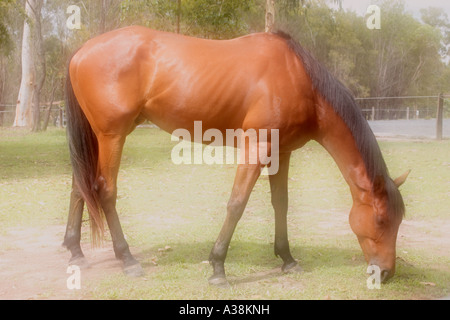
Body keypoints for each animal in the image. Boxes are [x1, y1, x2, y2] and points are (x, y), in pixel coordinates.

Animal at [61, 26, 410, 286]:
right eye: (381, 219)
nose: (386, 273)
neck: (299, 79)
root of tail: (79, 53)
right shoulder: (256, 148)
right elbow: (237, 204)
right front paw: (218, 267)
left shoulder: (280, 152)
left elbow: (280, 204)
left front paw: (287, 258)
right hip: (112, 136)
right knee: (104, 190)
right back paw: (128, 259)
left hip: (97, 137)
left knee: (81, 186)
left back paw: (76, 251)